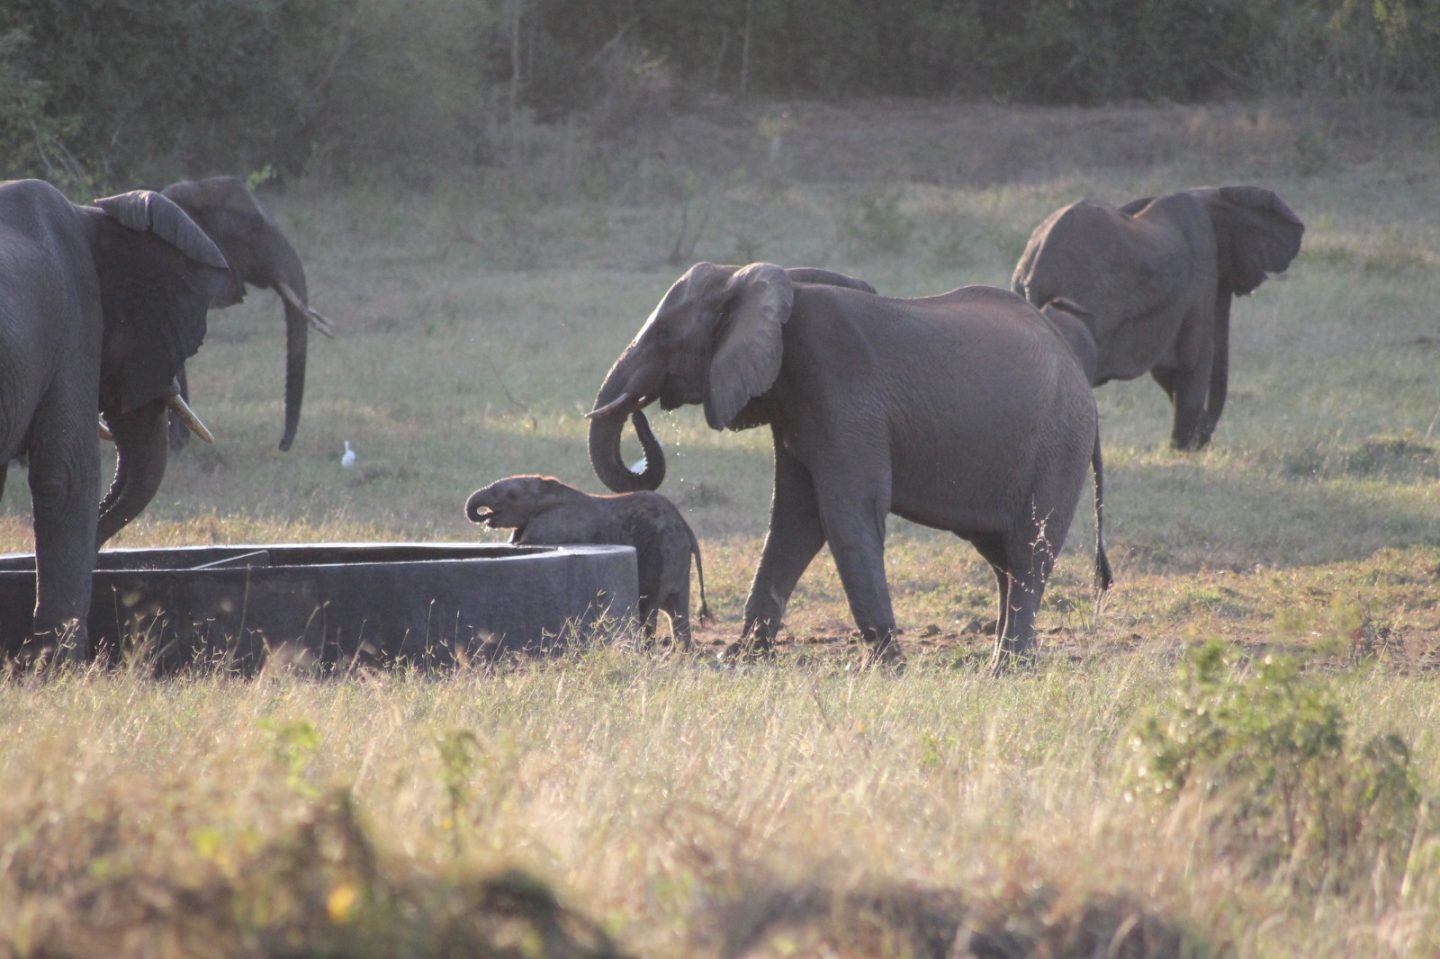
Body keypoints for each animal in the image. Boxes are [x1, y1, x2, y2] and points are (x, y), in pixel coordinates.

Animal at [465, 474, 710, 649]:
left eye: (511, 496)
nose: (484, 516)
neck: (548, 491)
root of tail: (684, 526)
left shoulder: (552, 529)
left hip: (661, 555)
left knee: (647, 609)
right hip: (676, 560)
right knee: (677, 612)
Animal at [586, 263, 1111, 671]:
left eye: (664, 334)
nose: (637, 407)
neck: (768, 286)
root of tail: (1080, 378)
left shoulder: (843, 396)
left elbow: (843, 514)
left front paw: (885, 666)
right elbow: (794, 521)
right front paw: (738, 658)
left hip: (1058, 444)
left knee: (1029, 547)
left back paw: (1005, 667)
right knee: (1002, 558)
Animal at [1012, 186, 1304, 450]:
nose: (1206, 442)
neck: (1209, 194)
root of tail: (1035, 266)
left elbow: (1166, 370)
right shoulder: (1201, 273)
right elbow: (1194, 358)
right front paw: (1184, 450)